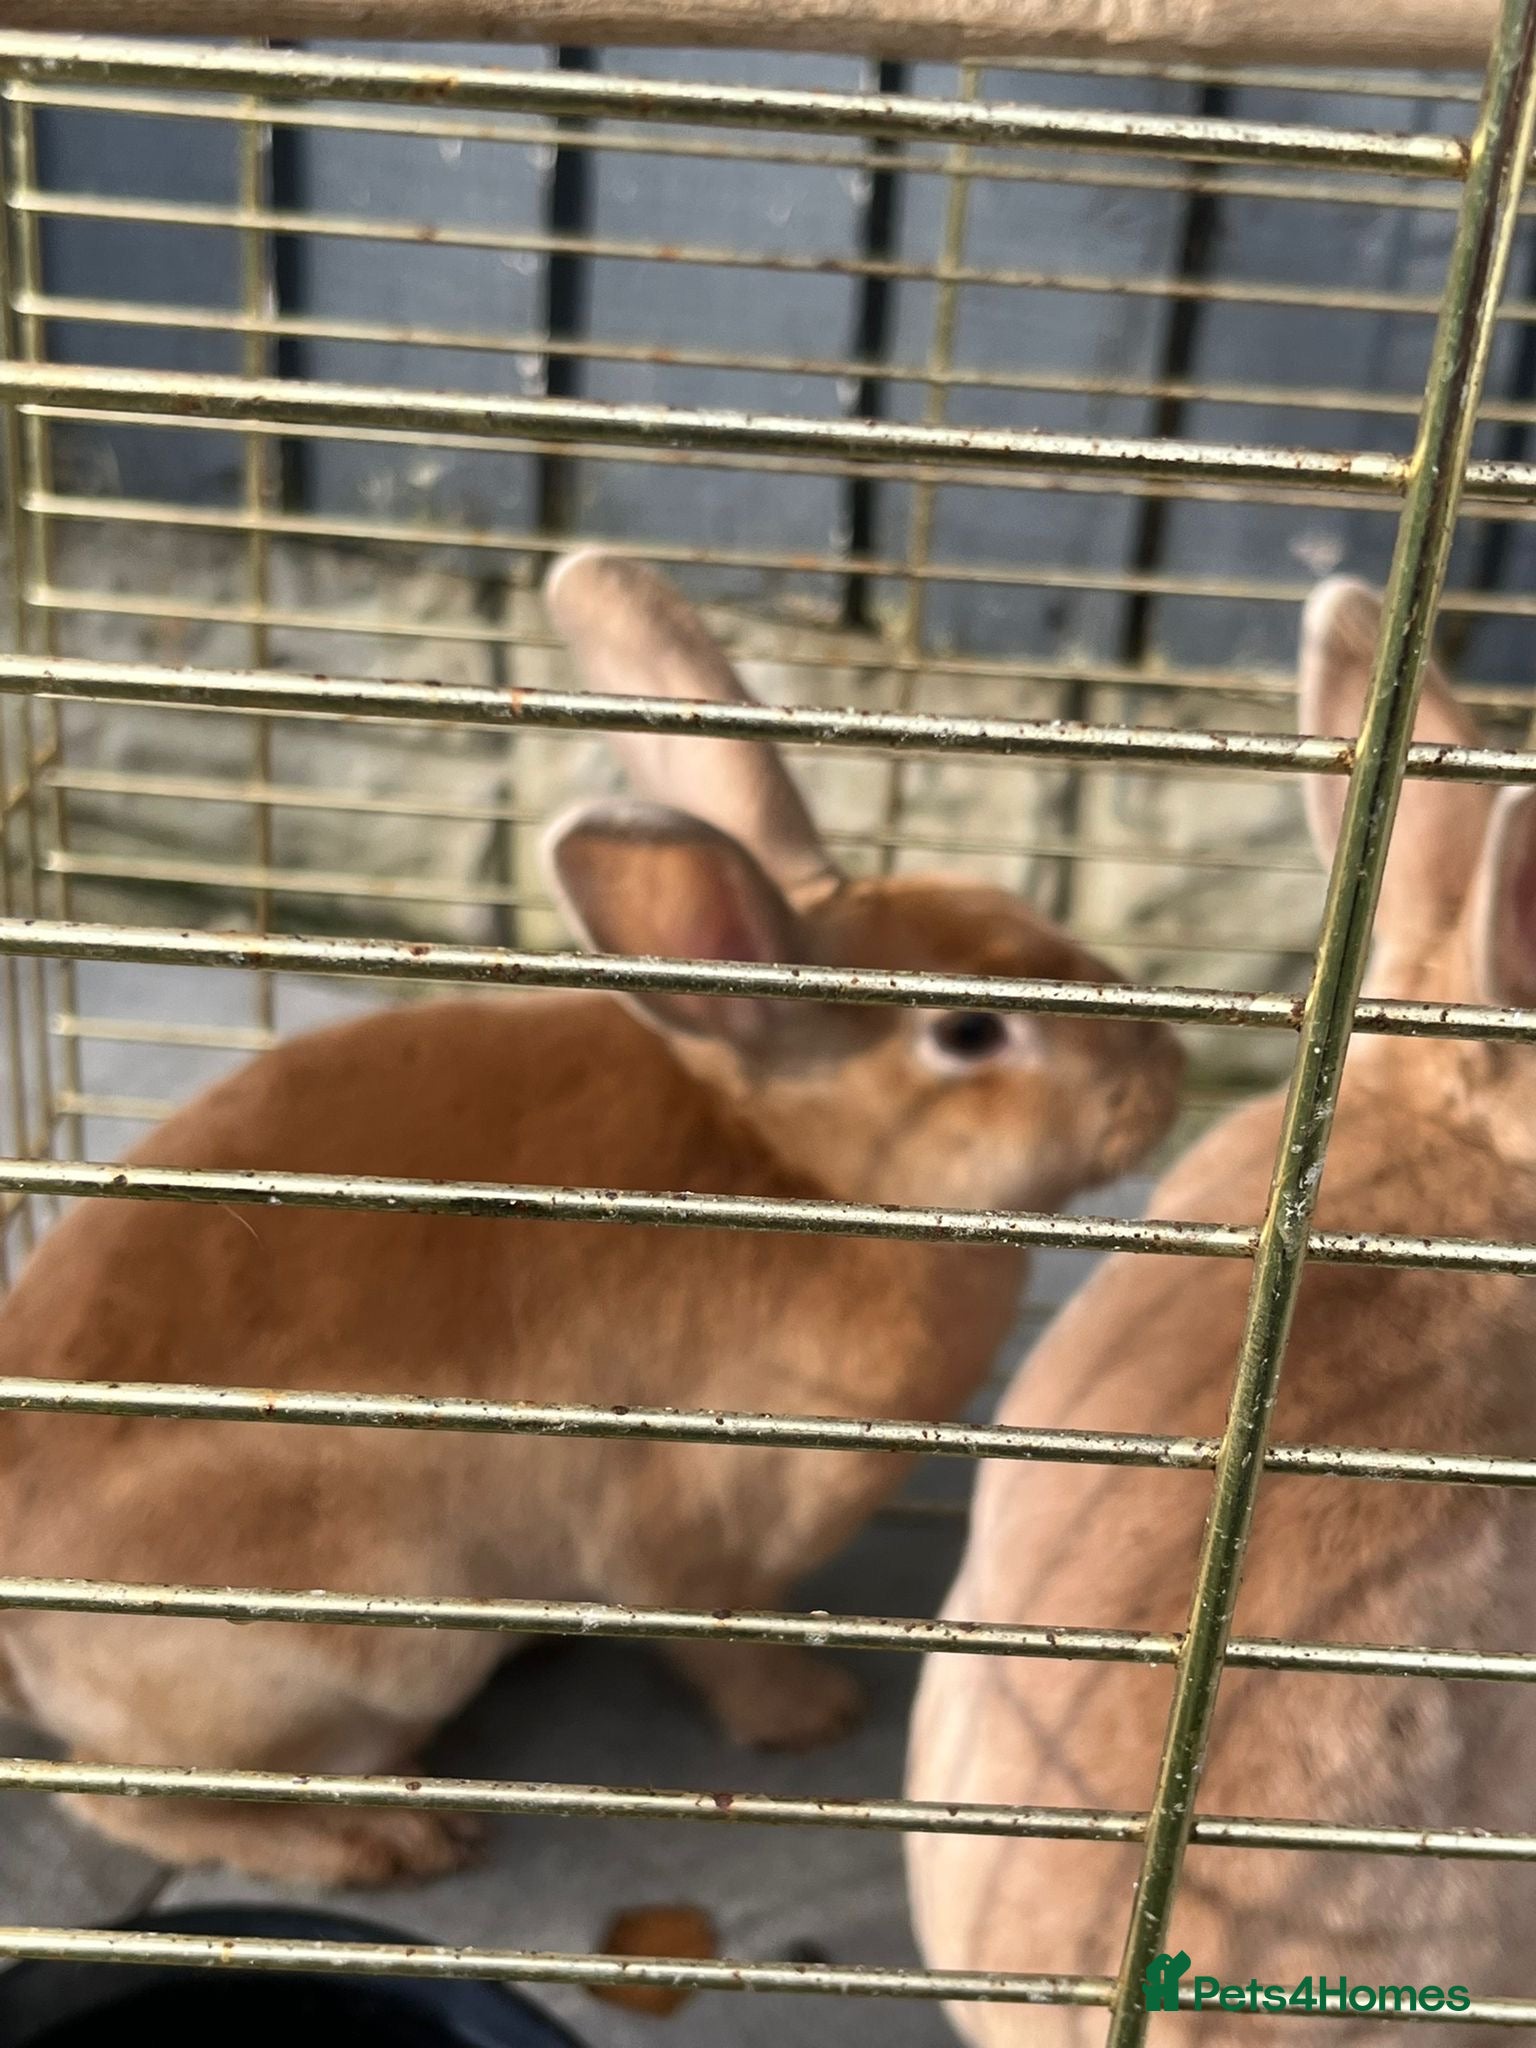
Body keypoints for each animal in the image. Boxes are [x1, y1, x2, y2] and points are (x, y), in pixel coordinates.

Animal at [0, 551, 1180, 1887]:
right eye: (971, 1032)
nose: (1171, 1067)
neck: (802, 1166)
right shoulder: (686, 1542)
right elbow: (713, 1641)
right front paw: (814, 1714)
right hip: (375, 1644)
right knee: (118, 1795)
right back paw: (384, 1836)